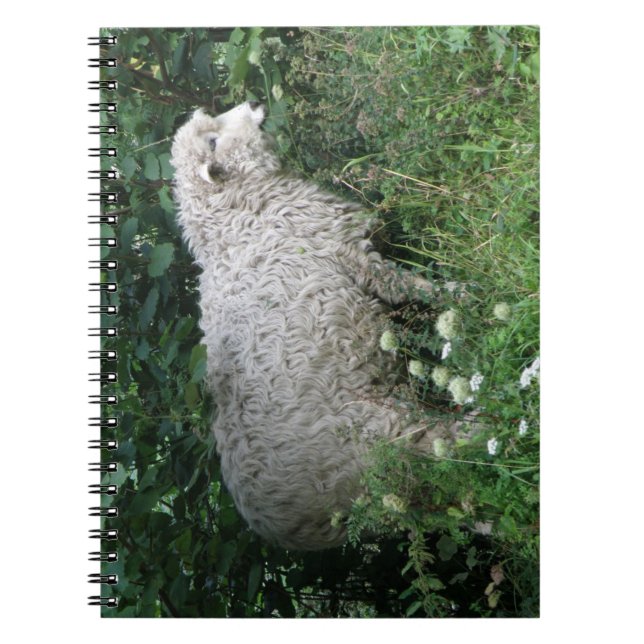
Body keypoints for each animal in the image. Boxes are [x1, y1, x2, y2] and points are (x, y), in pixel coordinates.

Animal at [170, 101, 456, 550]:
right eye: (212, 141)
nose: (254, 104)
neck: (231, 218)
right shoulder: (350, 255)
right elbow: (412, 286)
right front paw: (463, 293)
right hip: (386, 433)